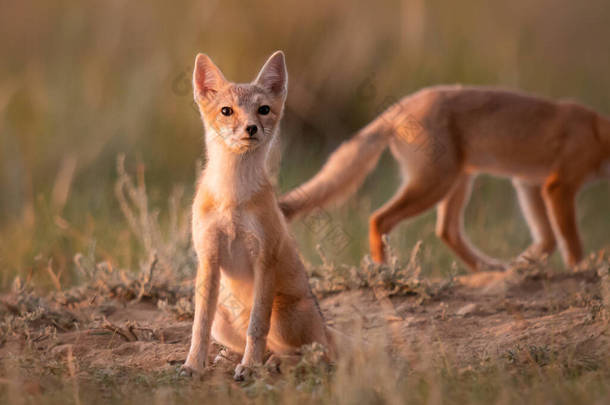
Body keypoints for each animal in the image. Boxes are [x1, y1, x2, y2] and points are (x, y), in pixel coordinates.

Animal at [180, 52, 332, 380]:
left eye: (263, 110)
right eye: (227, 111)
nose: (251, 128)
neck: (232, 197)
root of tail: (327, 329)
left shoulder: (265, 258)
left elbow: (257, 328)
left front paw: (250, 366)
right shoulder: (208, 257)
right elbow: (199, 327)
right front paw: (193, 364)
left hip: (282, 317)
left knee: (314, 356)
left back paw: (270, 363)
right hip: (224, 322)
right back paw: (232, 358)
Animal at [276, 85, 608, 270]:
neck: (596, 131)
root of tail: (401, 106)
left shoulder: (528, 183)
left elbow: (547, 239)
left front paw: (524, 264)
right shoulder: (558, 186)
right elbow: (570, 241)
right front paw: (581, 270)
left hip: (457, 181)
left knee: (447, 231)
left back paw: (488, 268)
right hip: (436, 184)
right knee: (379, 220)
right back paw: (384, 271)